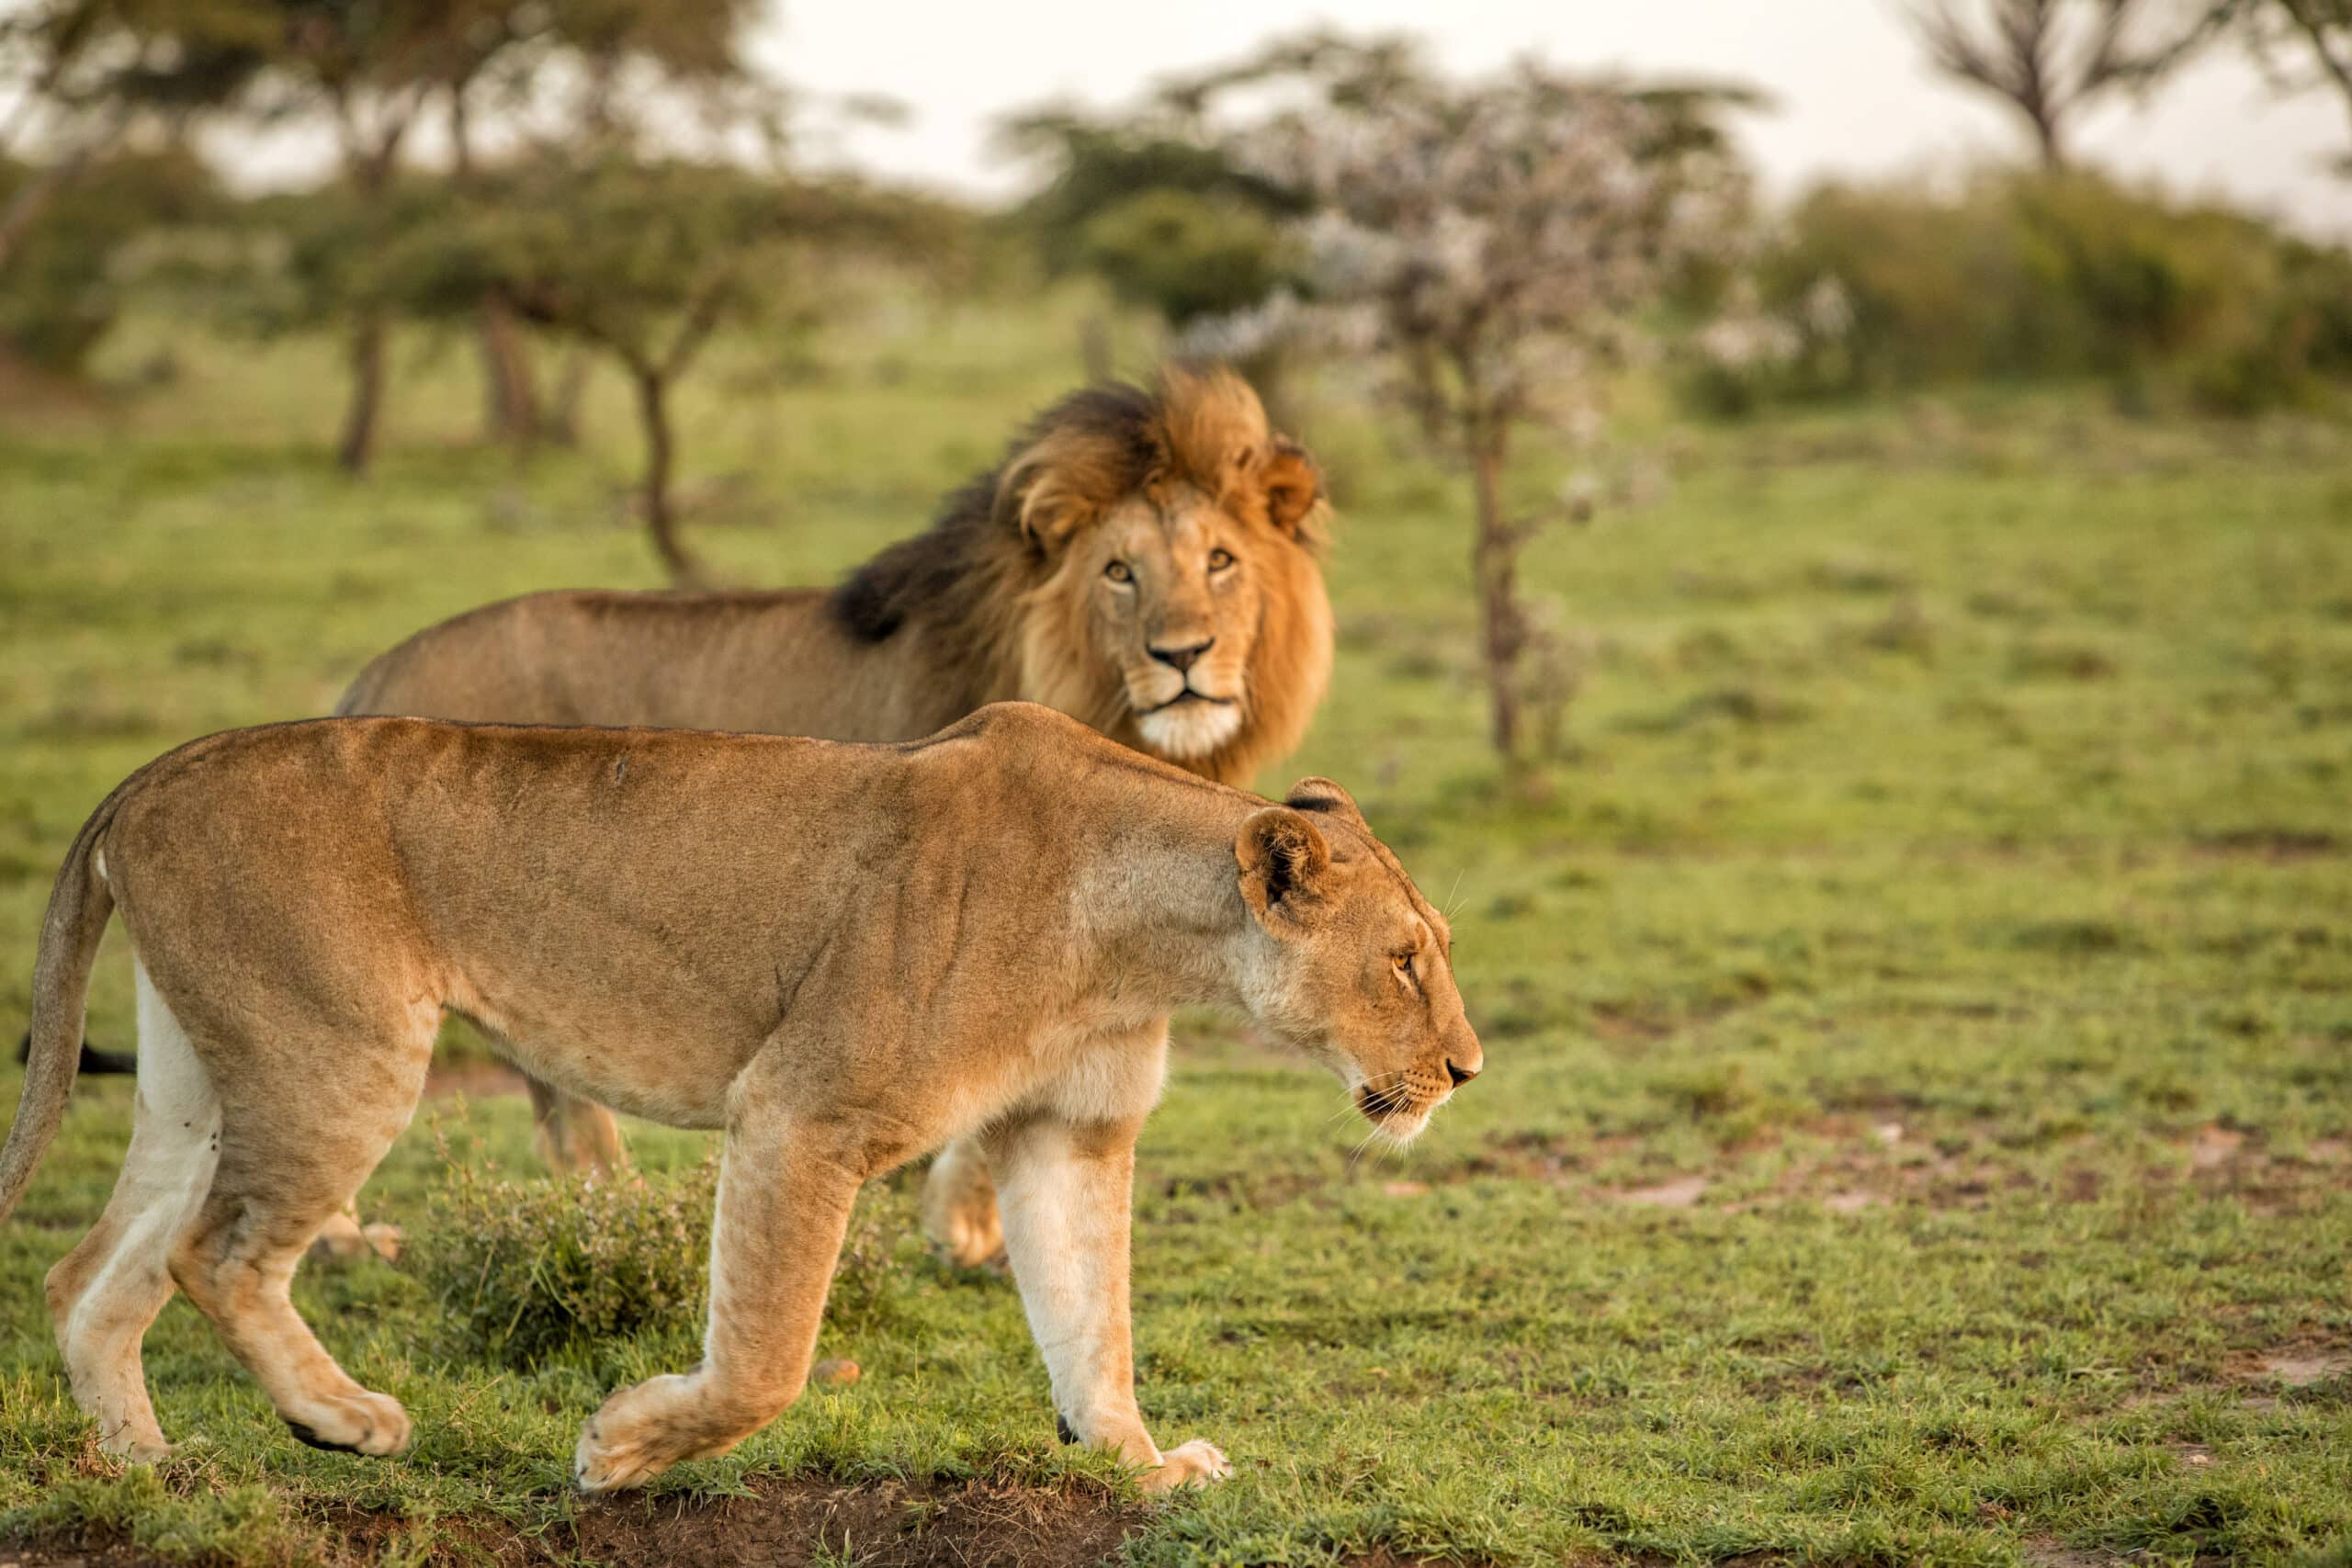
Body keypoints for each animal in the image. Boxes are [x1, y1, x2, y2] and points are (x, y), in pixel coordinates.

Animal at [0, 705, 1476, 1495]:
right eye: (1405, 959)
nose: (1465, 1069)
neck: (1141, 941)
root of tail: (149, 774)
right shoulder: (802, 1109)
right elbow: (767, 1358)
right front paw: (621, 1450)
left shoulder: (1069, 1130)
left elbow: (1091, 1326)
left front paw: (1139, 1464)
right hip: (342, 1051)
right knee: (216, 1254)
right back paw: (344, 1417)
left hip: (204, 1076)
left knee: (94, 1271)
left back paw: (150, 1467)